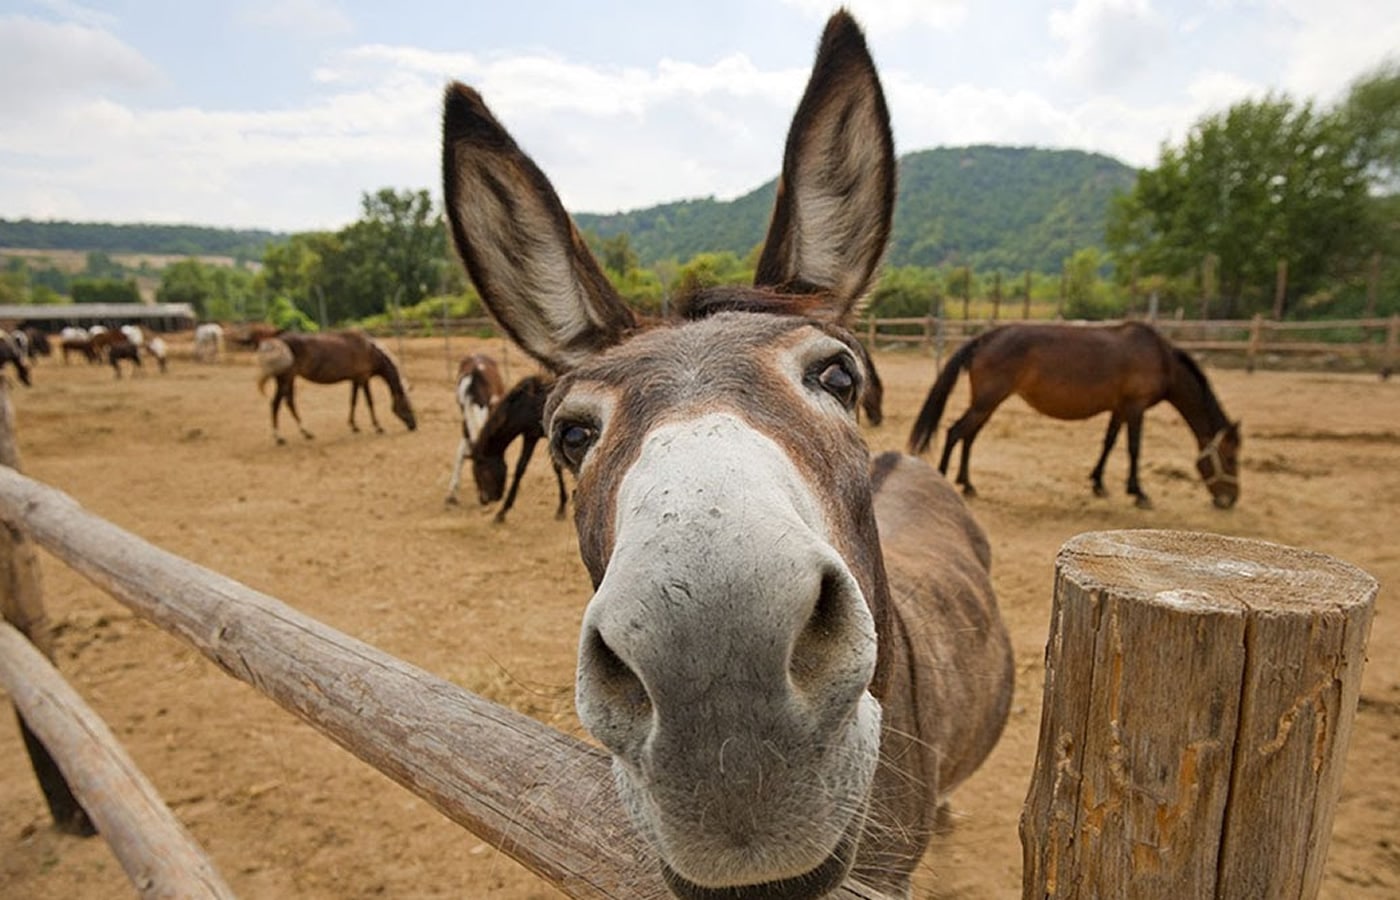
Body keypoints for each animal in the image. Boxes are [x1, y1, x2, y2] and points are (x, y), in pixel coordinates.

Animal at [257, 330, 417, 442]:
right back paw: (281, 437)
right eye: (407, 405)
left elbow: (353, 401)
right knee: (278, 403)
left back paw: (304, 433)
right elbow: (369, 402)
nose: (414, 426)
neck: (370, 351)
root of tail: (277, 341)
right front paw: (378, 427)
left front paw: (354, 426)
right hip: (286, 379)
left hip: (287, 380)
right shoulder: (364, 379)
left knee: (286, 402)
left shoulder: (355, 380)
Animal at [470, 375, 568, 529]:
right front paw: (502, 512)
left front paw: (562, 508)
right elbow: (520, 468)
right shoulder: (530, 436)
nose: (483, 499)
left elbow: (557, 467)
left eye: (482, 472)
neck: (529, 404)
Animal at [912, 321, 1243, 506]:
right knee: (955, 432)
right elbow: (1134, 448)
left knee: (968, 436)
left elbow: (1109, 443)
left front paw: (1098, 484)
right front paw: (1138, 493)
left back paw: (967, 484)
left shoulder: (1119, 409)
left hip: (988, 403)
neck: (1161, 359)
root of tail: (984, 338)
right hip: (986, 402)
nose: (1230, 500)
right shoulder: (1135, 408)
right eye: (1230, 458)